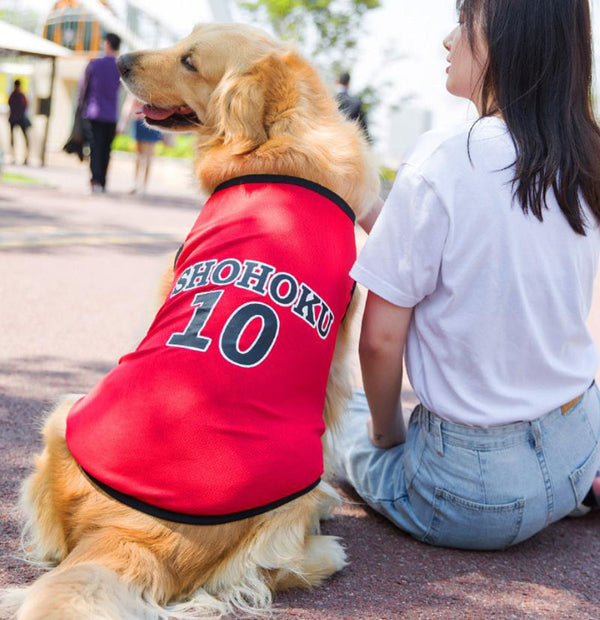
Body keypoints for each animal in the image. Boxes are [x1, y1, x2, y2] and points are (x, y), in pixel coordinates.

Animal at [2, 21, 380, 616]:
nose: (121, 62)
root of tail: (131, 536)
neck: (276, 141)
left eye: (189, 61)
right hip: (63, 420)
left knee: (271, 568)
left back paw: (327, 549)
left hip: (61, 414)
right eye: (184, 38)